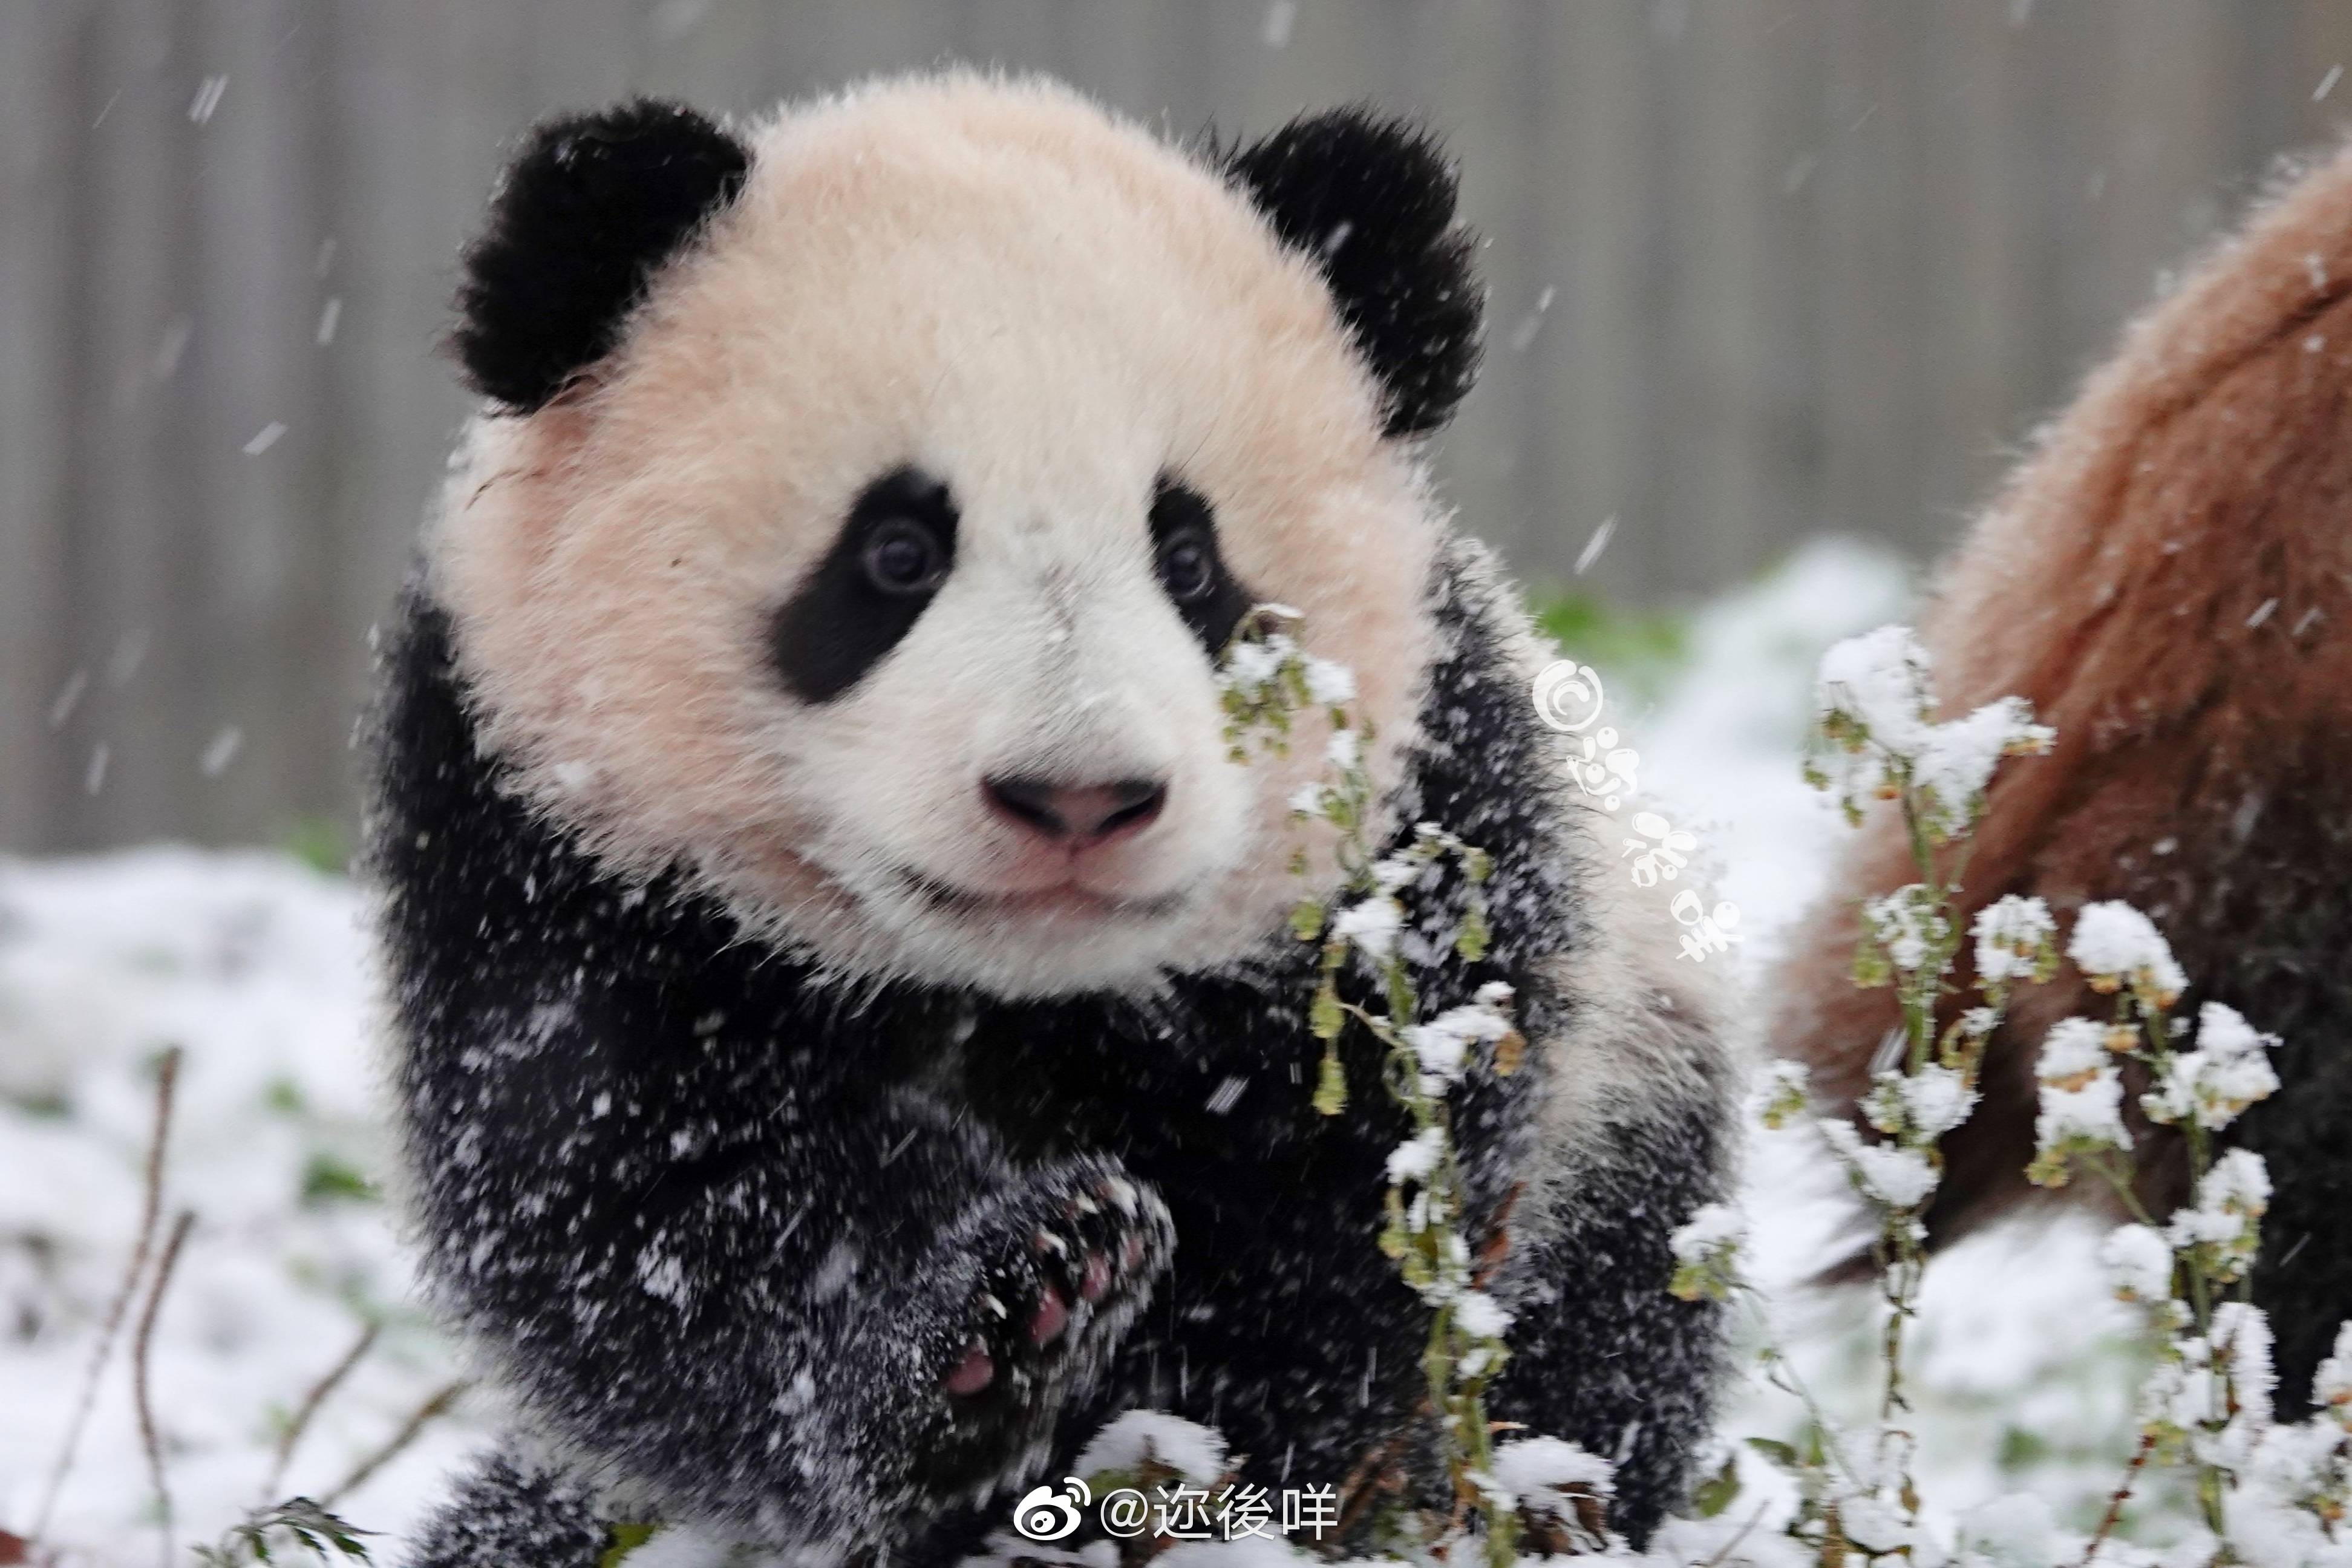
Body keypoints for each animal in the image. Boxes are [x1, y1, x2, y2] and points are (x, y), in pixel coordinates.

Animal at [370, 72, 1735, 1565]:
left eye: (1188, 556)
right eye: (894, 552)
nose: (1076, 795)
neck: (1020, 991)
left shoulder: (1420, 856)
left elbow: (1345, 1230)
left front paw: (1144, 1462)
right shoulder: (545, 843)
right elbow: (640, 1207)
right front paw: (1003, 1313)